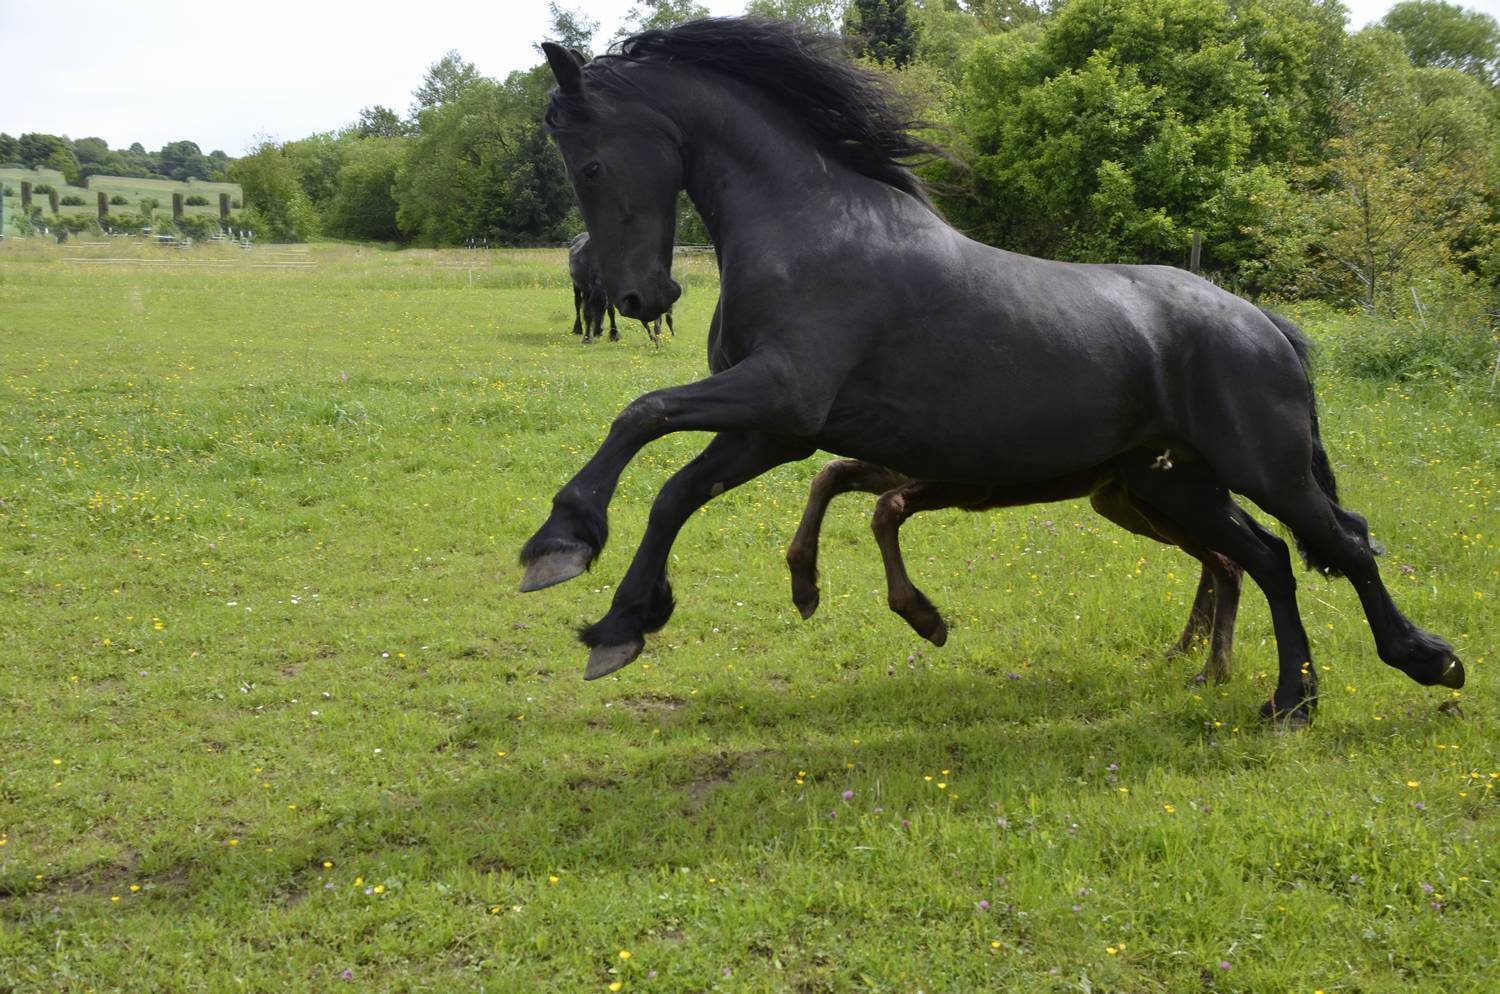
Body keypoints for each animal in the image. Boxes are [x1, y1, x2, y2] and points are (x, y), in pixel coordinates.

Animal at [522, 19, 1458, 728]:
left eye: (591, 163)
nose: (641, 297)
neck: (812, 230)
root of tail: (1265, 325)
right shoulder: (775, 431)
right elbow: (678, 490)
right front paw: (620, 620)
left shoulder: (781, 395)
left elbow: (641, 414)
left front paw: (561, 544)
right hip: (1174, 484)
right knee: (1267, 560)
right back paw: (1290, 701)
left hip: (1263, 468)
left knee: (1342, 545)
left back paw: (1426, 663)